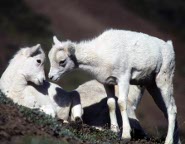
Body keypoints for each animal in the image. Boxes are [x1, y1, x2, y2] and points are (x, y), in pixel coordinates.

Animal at [48, 28, 180, 143]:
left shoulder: (123, 79)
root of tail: (169, 46)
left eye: (62, 61)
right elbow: (111, 104)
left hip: (163, 81)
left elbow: (121, 103)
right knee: (167, 110)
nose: (51, 77)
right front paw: (114, 130)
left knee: (171, 109)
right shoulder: (108, 83)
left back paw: (168, 141)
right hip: (152, 86)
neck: (101, 54)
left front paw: (125, 136)